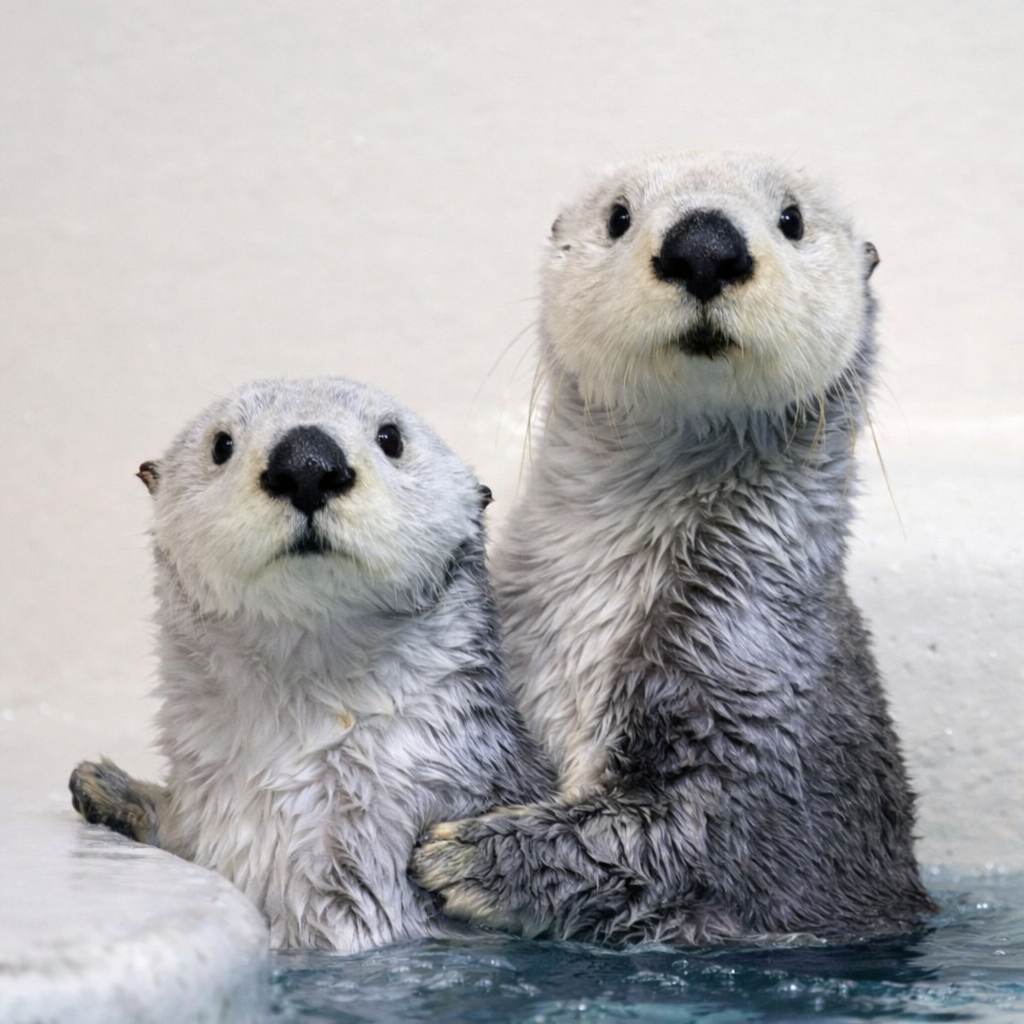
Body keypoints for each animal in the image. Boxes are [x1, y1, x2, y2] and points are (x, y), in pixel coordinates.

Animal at [411, 153, 936, 945]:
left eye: (792, 219)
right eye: (619, 216)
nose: (706, 245)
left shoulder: (754, 683)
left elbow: (675, 839)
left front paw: (469, 857)